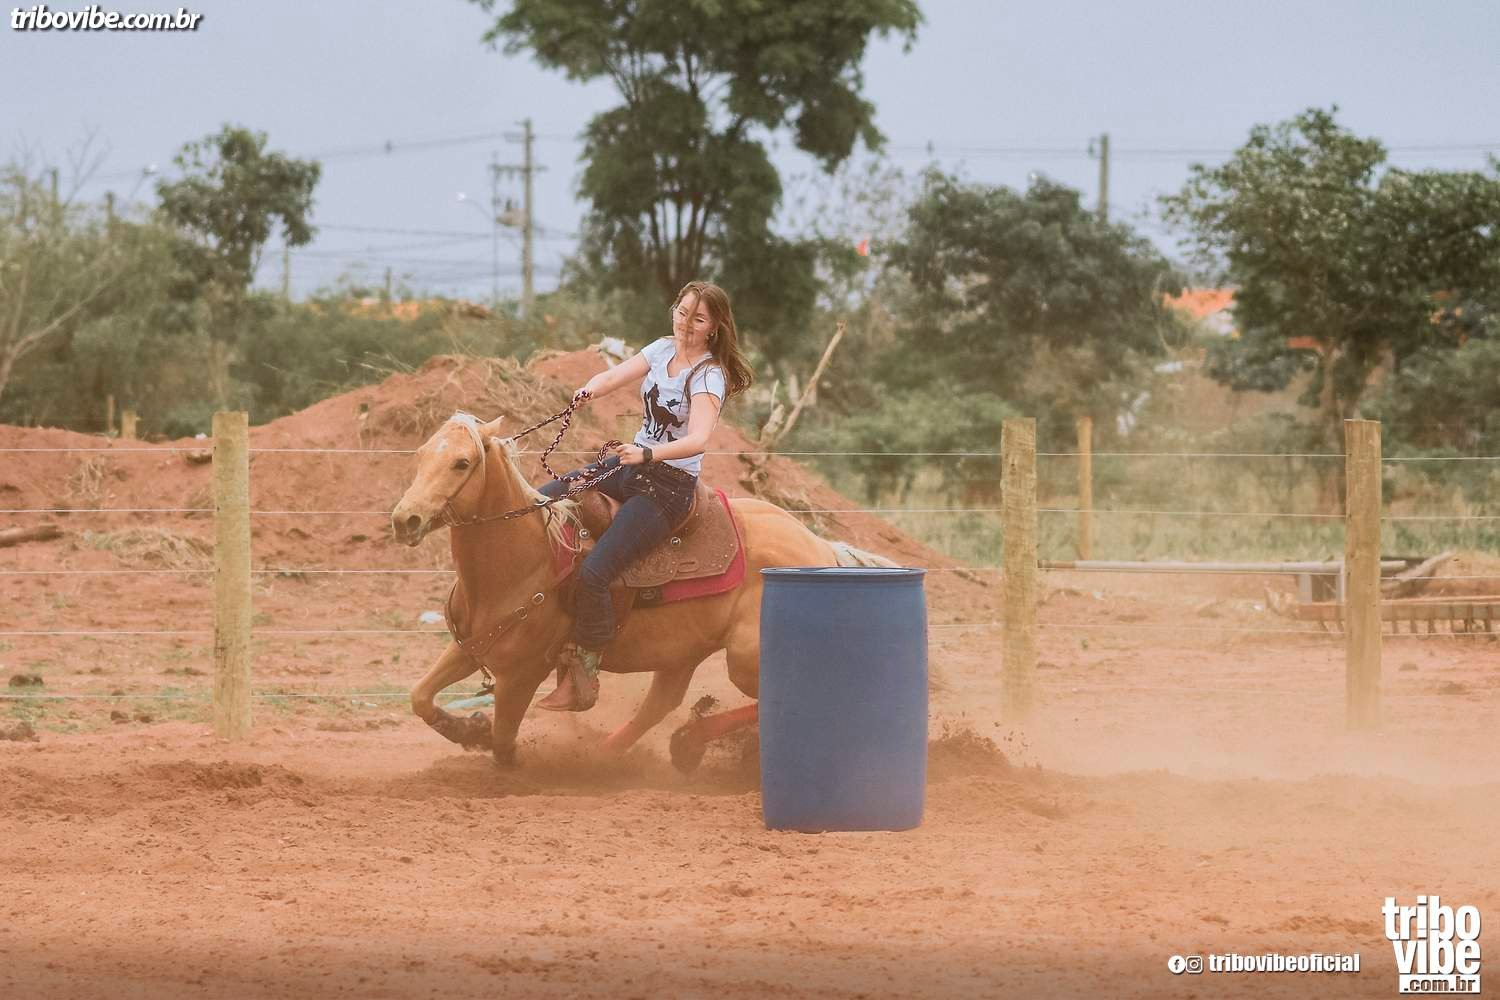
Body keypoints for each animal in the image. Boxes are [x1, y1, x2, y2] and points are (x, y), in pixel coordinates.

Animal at [389, 412, 853, 769]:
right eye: (421, 455)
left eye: (462, 462)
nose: (405, 519)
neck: (524, 561)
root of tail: (819, 547)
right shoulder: (470, 646)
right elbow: (420, 697)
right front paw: (466, 728)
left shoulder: (523, 673)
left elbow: (504, 743)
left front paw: (488, 739)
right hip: (684, 653)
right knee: (659, 705)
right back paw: (621, 754)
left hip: (744, 657)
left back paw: (687, 742)